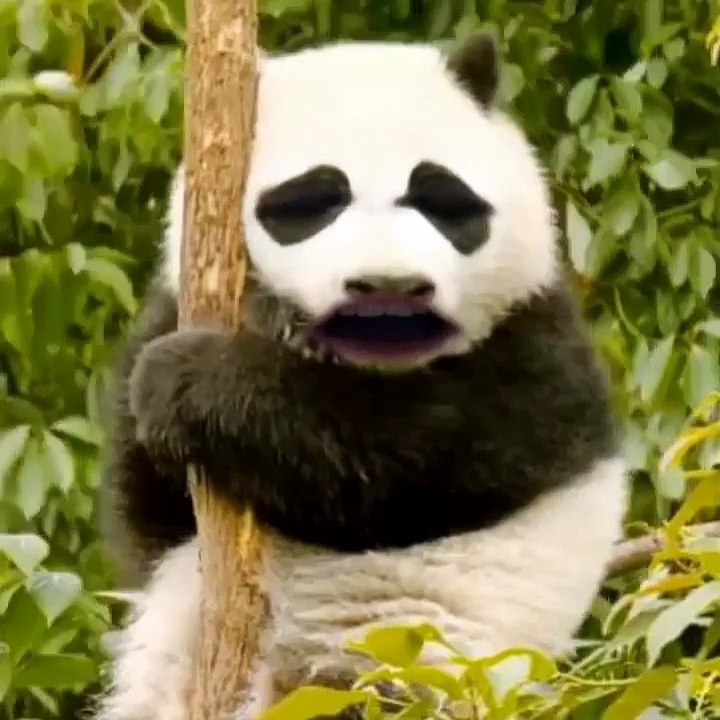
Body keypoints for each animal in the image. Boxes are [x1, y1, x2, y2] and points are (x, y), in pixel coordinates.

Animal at [94, 33, 628, 720]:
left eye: (439, 200)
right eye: (315, 202)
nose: (386, 286)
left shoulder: (535, 352)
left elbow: (387, 461)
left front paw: (185, 379)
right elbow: (144, 516)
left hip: (397, 674)